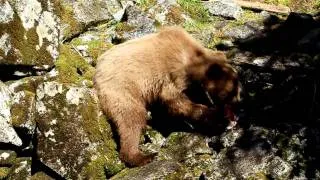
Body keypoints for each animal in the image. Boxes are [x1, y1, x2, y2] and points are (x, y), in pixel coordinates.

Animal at [92, 26, 240, 167]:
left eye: (238, 90)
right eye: (231, 92)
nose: (237, 105)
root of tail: (97, 71)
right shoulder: (173, 73)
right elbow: (176, 101)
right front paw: (217, 118)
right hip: (122, 88)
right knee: (132, 118)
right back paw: (142, 156)